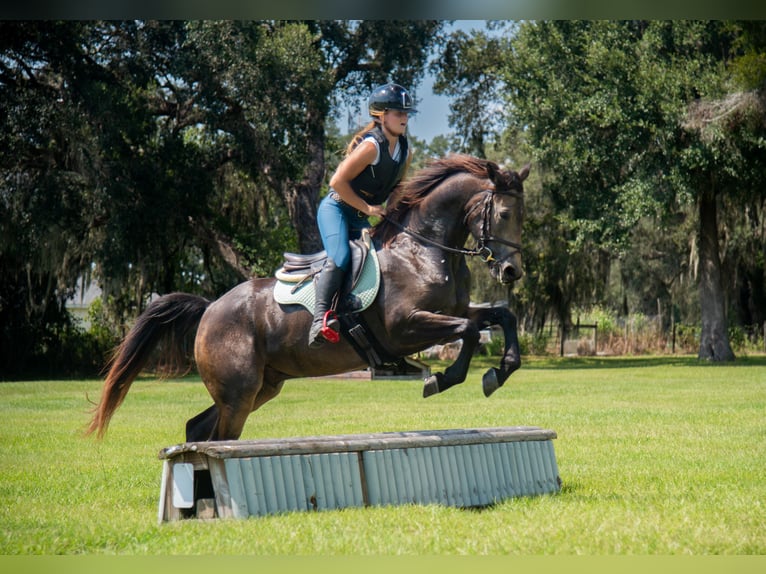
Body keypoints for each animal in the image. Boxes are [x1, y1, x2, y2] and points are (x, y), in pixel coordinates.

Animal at [86, 154, 529, 442]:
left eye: (522, 216)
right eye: (504, 214)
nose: (512, 272)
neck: (423, 249)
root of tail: (210, 308)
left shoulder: (451, 311)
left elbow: (499, 317)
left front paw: (500, 371)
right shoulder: (405, 327)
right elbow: (469, 330)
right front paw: (442, 379)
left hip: (262, 387)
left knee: (200, 428)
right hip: (239, 390)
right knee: (219, 434)